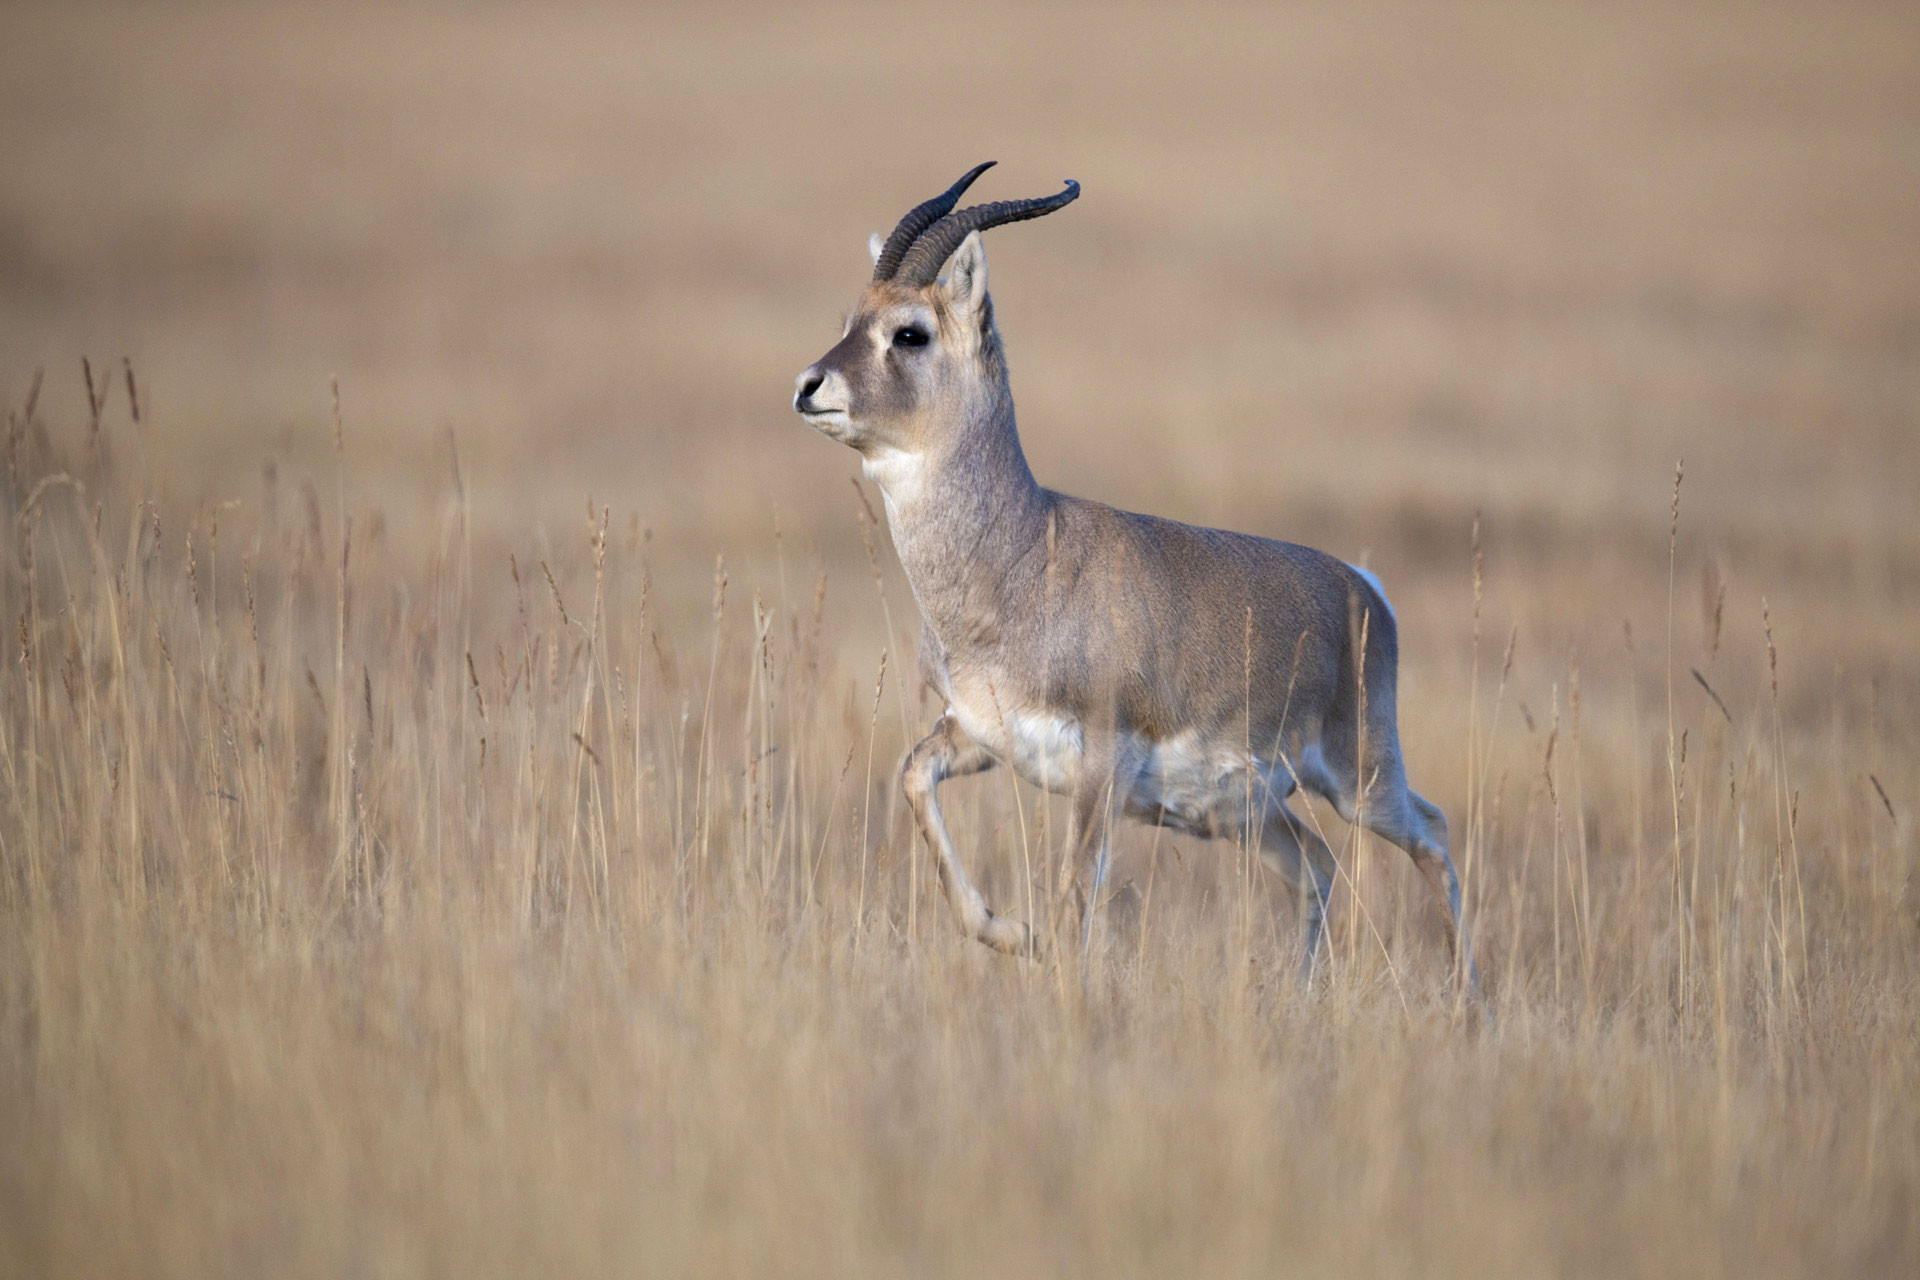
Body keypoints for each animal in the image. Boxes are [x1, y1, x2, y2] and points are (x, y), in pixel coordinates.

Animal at [793, 163, 1474, 985]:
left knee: (1432, 835)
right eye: (853, 317)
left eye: (910, 332)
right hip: (1245, 813)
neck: (1025, 558)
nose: (808, 386)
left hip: (1359, 782)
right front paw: (1010, 932)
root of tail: (1364, 588)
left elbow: (1073, 893)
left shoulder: (1102, 764)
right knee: (1315, 864)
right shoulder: (978, 736)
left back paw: (1469, 998)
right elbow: (912, 777)